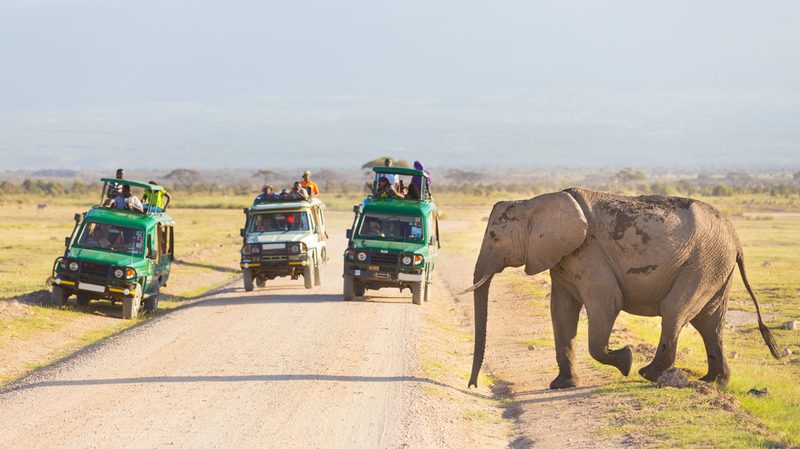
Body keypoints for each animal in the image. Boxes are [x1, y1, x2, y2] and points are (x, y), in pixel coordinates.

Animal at [465, 188, 780, 389]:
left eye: (493, 236)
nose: (473, 386)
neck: (534, 201)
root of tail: (736, 240)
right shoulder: (563, 258)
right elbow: (561, 312)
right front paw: (561, 386)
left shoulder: (589, 254)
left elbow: (607, 303)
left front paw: (626, 360)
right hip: (715, 266)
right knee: (709, 322)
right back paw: (713, 382)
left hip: (703, 263)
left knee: (675, 312)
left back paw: (647, 373)